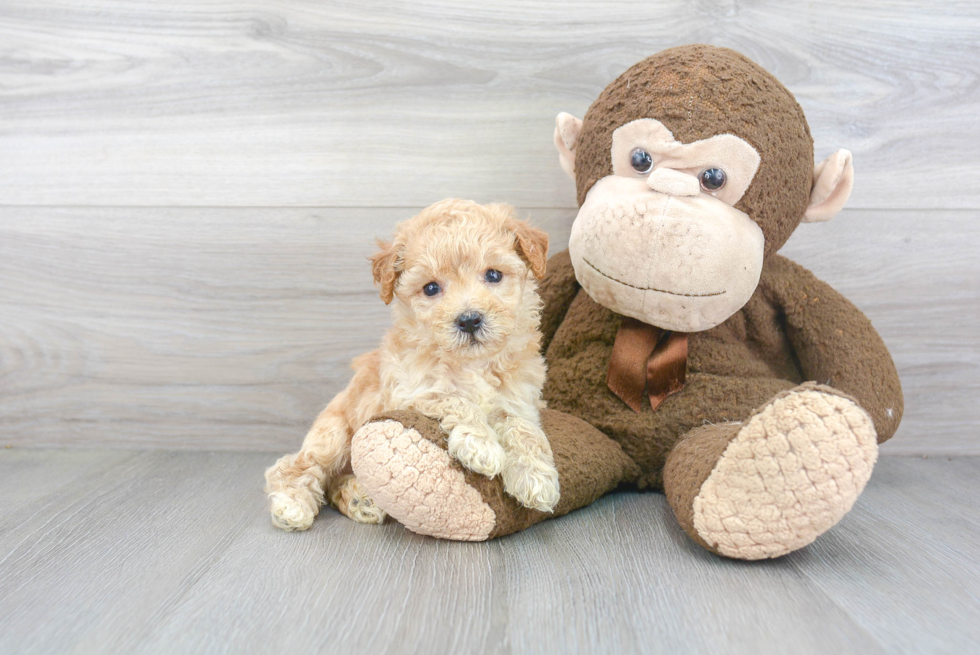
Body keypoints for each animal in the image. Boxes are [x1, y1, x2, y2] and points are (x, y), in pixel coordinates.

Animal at [264, 197, 560, 532]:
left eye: (494, 275)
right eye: (431, 288)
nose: (469, 320)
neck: (472, 364)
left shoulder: (520, 400)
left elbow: (524, 429)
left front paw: (535, 477)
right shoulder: (411, 392)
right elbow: (456, 400)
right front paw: (480, 444)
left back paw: (360, 500)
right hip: (334, 434)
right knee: (296, 466)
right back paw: (293, 504)